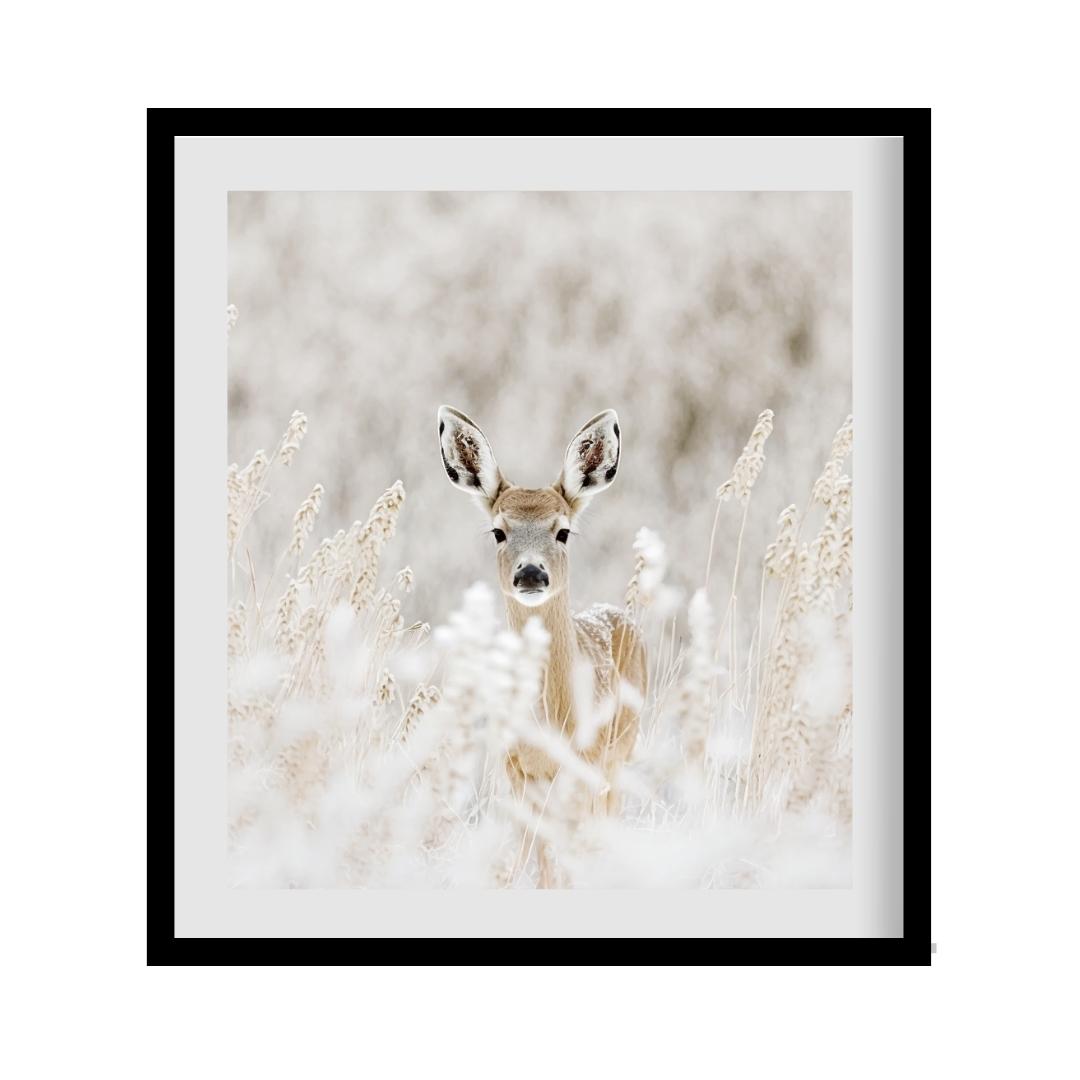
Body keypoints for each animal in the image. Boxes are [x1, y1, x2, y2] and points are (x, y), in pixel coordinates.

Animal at [434, 406, 643, 885]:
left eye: (562, 531)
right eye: (498, 531)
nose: (531, 573)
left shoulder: (586, 768)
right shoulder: (515, 771)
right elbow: (533, 862)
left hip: (621, 756)